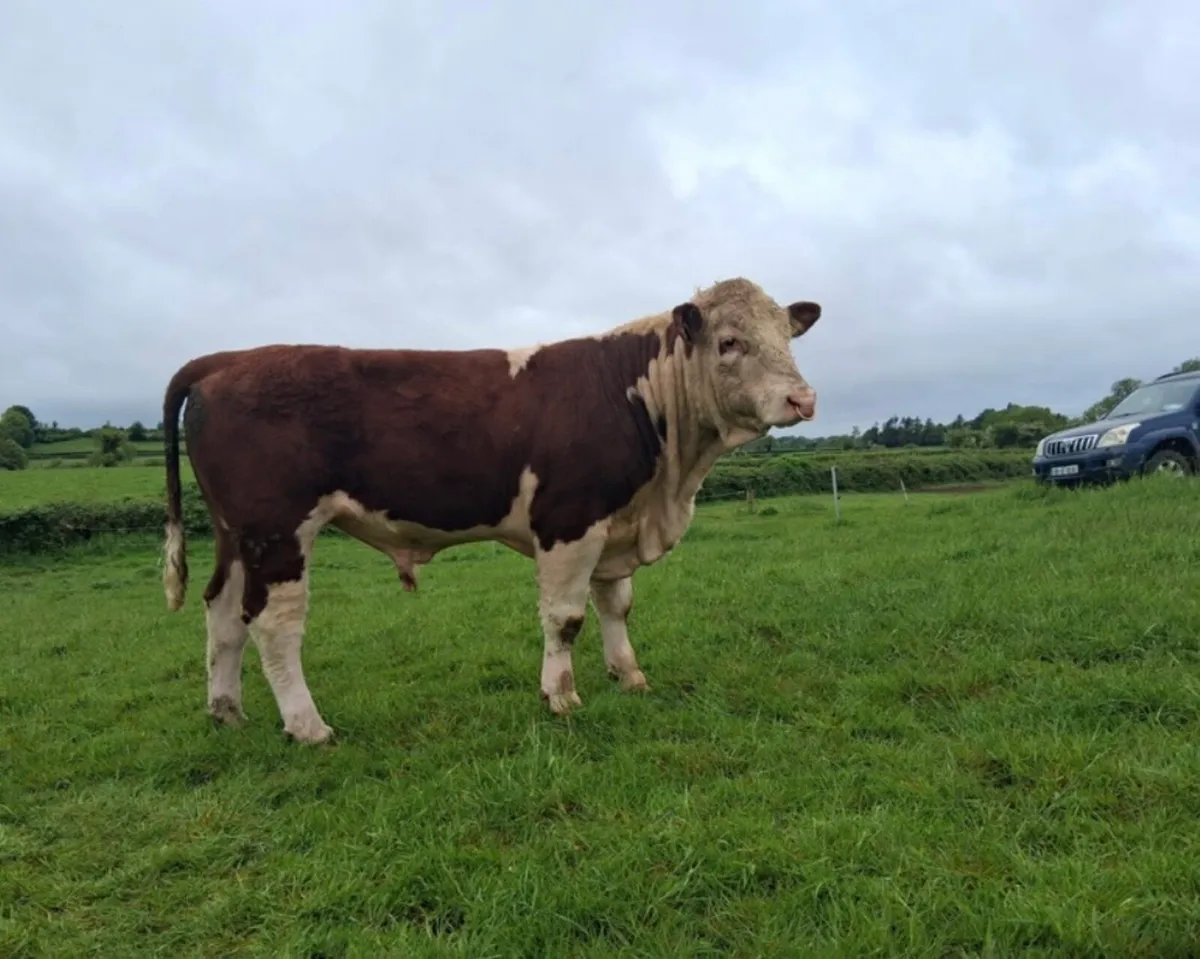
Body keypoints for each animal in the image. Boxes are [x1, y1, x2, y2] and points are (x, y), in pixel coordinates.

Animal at [160, 277, 821, 743]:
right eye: (730, 342)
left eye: (787, 338)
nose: (803, 398)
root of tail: (228, 359)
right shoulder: (569, 522)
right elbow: (565, 618)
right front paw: (560, 697)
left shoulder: (615, 525)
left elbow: (616, 606)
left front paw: (629, 675)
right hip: (278, 532)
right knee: (273, 624)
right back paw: (307, 726)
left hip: (236, 533)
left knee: (222, 613)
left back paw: (227, 713)